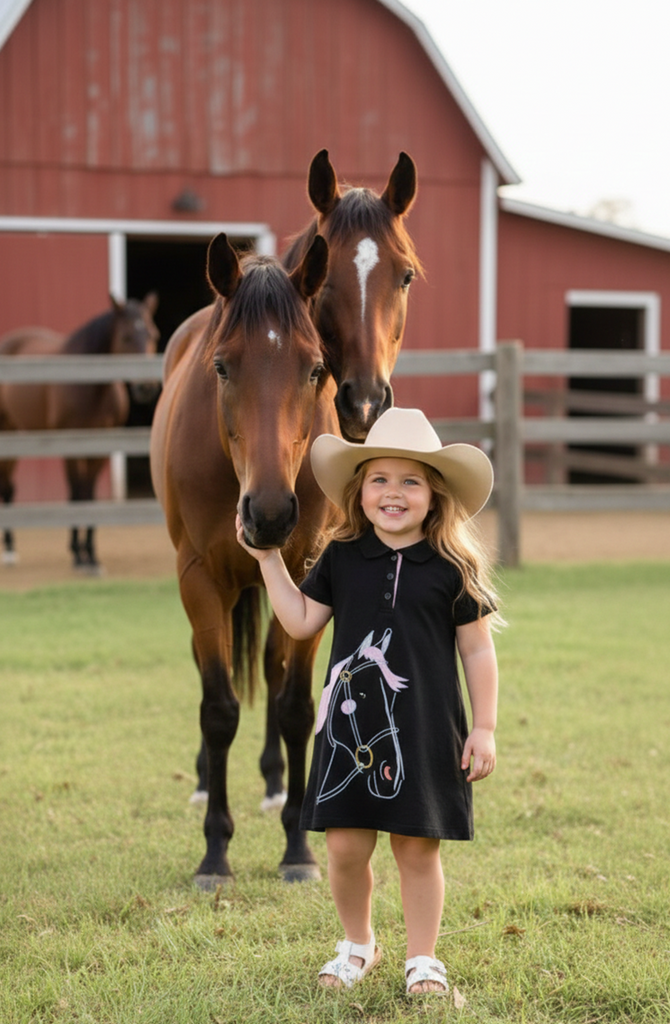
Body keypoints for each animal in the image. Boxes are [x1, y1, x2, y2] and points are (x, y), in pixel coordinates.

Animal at [0, 294, 160, 572]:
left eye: (153, 334)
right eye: (126, 336)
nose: (146, 388)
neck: (91, 385)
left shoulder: (101, 448)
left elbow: (90, 496)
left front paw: (91, 554)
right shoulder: (72, 446)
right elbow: (77, 495)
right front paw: (78, 555)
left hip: (16, 434)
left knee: (8, 487)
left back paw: (10, 549)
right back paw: (8, 550)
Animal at [150, 232, 337, 887]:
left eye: (316, 368)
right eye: (222, 366)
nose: (271, 513)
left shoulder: (307, 576)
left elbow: (296, 707)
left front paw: (299, 848)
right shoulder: (200, 580)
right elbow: (219, 708)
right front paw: (215, 852)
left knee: (273, 672)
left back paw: (278, 786)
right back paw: (208, 782)